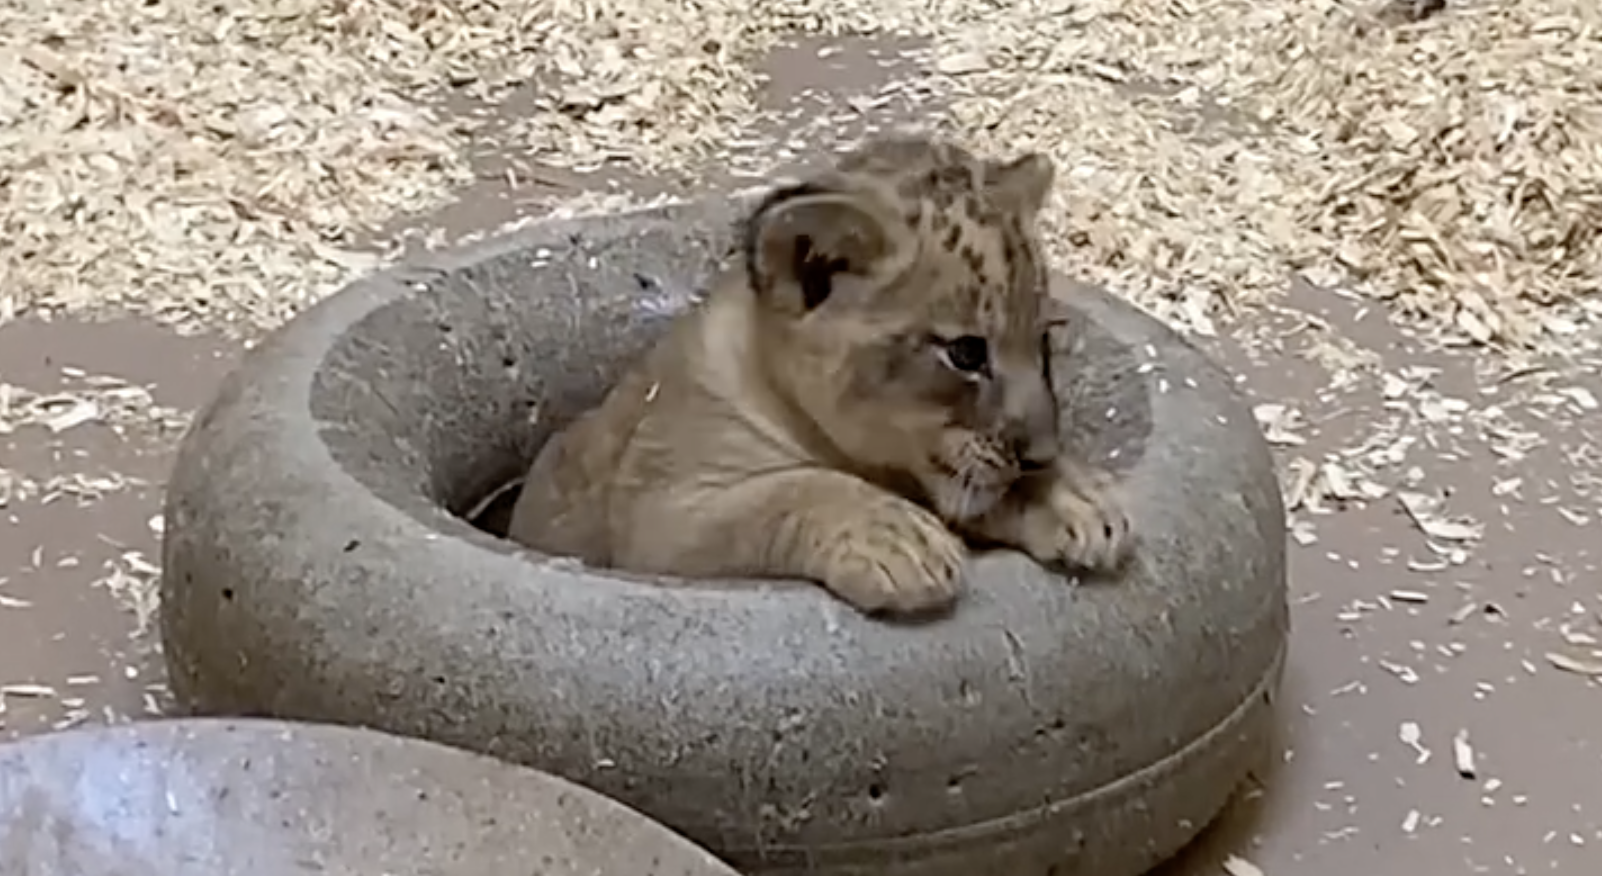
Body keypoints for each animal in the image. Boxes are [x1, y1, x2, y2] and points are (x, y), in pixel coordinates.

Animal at [506, 134, 1134, 616]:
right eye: (966, 353)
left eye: (1043, 339)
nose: (1041, 456)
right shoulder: (658, 521)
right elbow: (787, 490)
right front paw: (897, 542)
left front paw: (1075, 497)